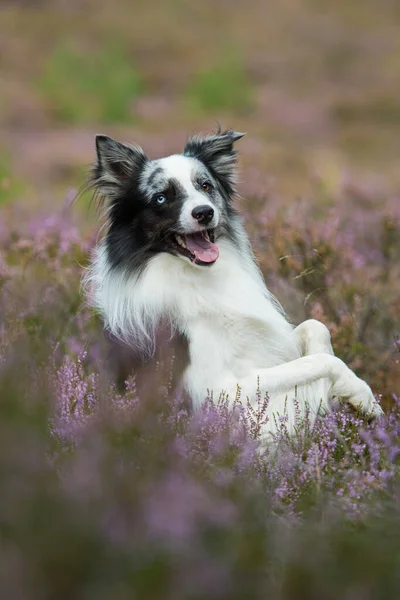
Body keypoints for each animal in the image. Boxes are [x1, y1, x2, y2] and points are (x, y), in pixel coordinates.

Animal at [82, 129, 384, 442]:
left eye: (205, 185)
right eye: (161, 198)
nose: (204, 212)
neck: (196, 278)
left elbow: (317, 328)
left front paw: (350, 398)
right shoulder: (217, 391)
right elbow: (319, 363)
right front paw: (364, 397)